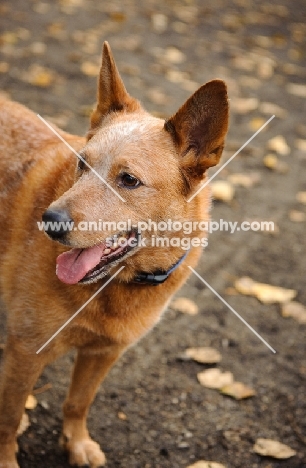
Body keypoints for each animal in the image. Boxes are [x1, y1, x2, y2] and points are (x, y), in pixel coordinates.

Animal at [0, 42, 230, 466]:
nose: (49, 221)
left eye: (129, 180)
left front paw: (76, 443)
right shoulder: (25, 350)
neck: (116, 288)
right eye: (81, 162)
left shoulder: (104, 353)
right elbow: (8, 419)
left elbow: (78, 403)